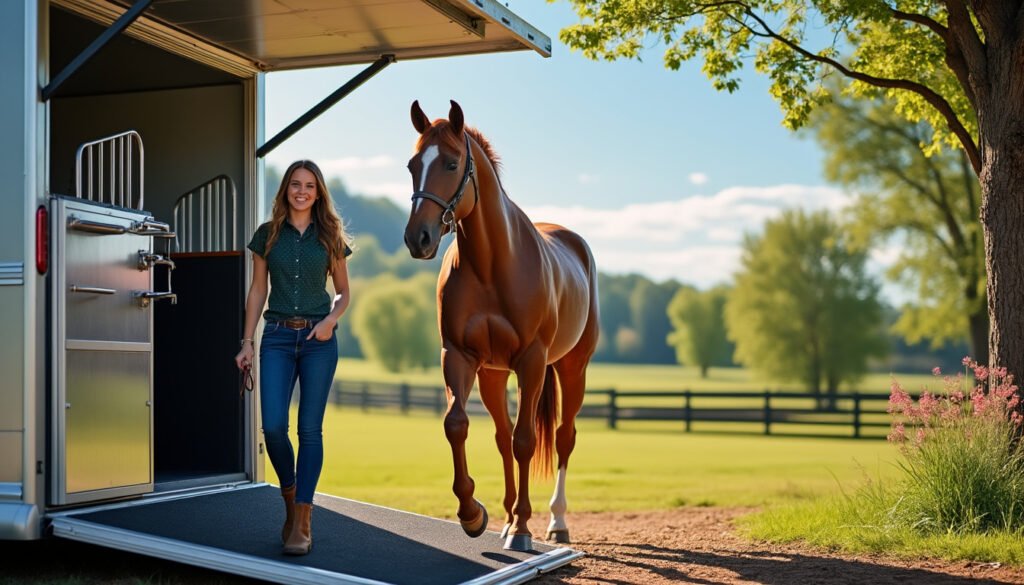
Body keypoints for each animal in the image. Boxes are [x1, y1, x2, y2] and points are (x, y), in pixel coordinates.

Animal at [403, 100, 599, 552]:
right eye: (411, 165)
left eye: (452, 163)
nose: (418, 238)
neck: (492, 265)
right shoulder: (458, 356)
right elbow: (458, 425)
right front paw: (474, 514)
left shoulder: (531, 361)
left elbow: (526, 440)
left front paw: (524, 530)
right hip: (493, 375)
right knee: (501, 435)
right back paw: (508, 519)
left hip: (571, 368)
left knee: (562, 437)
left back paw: (555, 522)